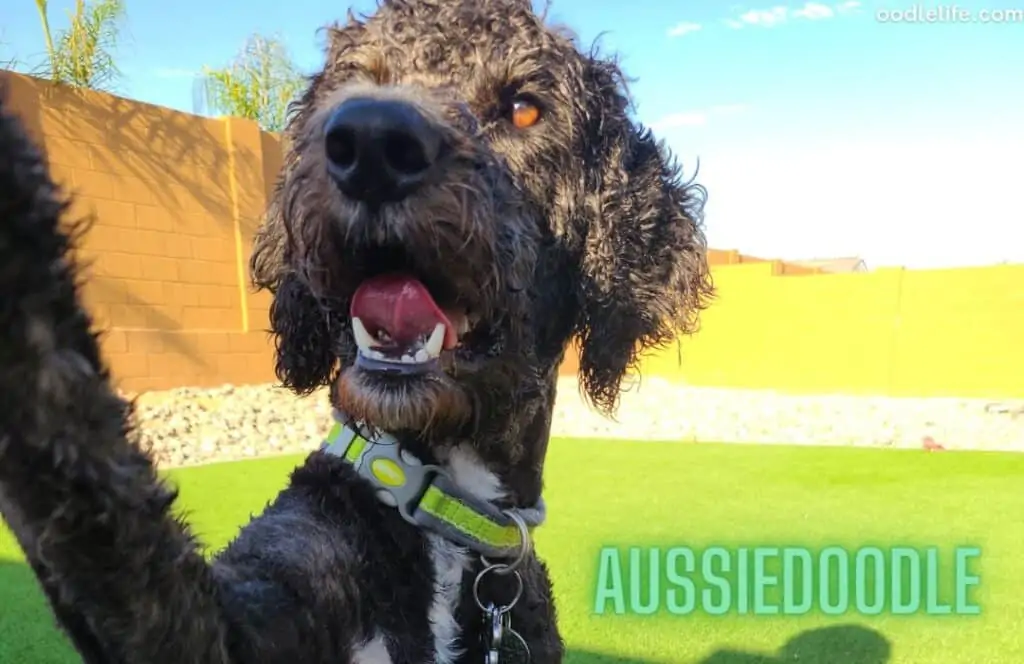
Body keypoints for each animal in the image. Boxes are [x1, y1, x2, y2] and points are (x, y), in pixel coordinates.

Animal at [0, 2, 712, 659]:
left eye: (525, 109)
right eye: (354, 84)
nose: (371, 141)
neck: (442, 517)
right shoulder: (234, 623)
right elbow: (112, 521)